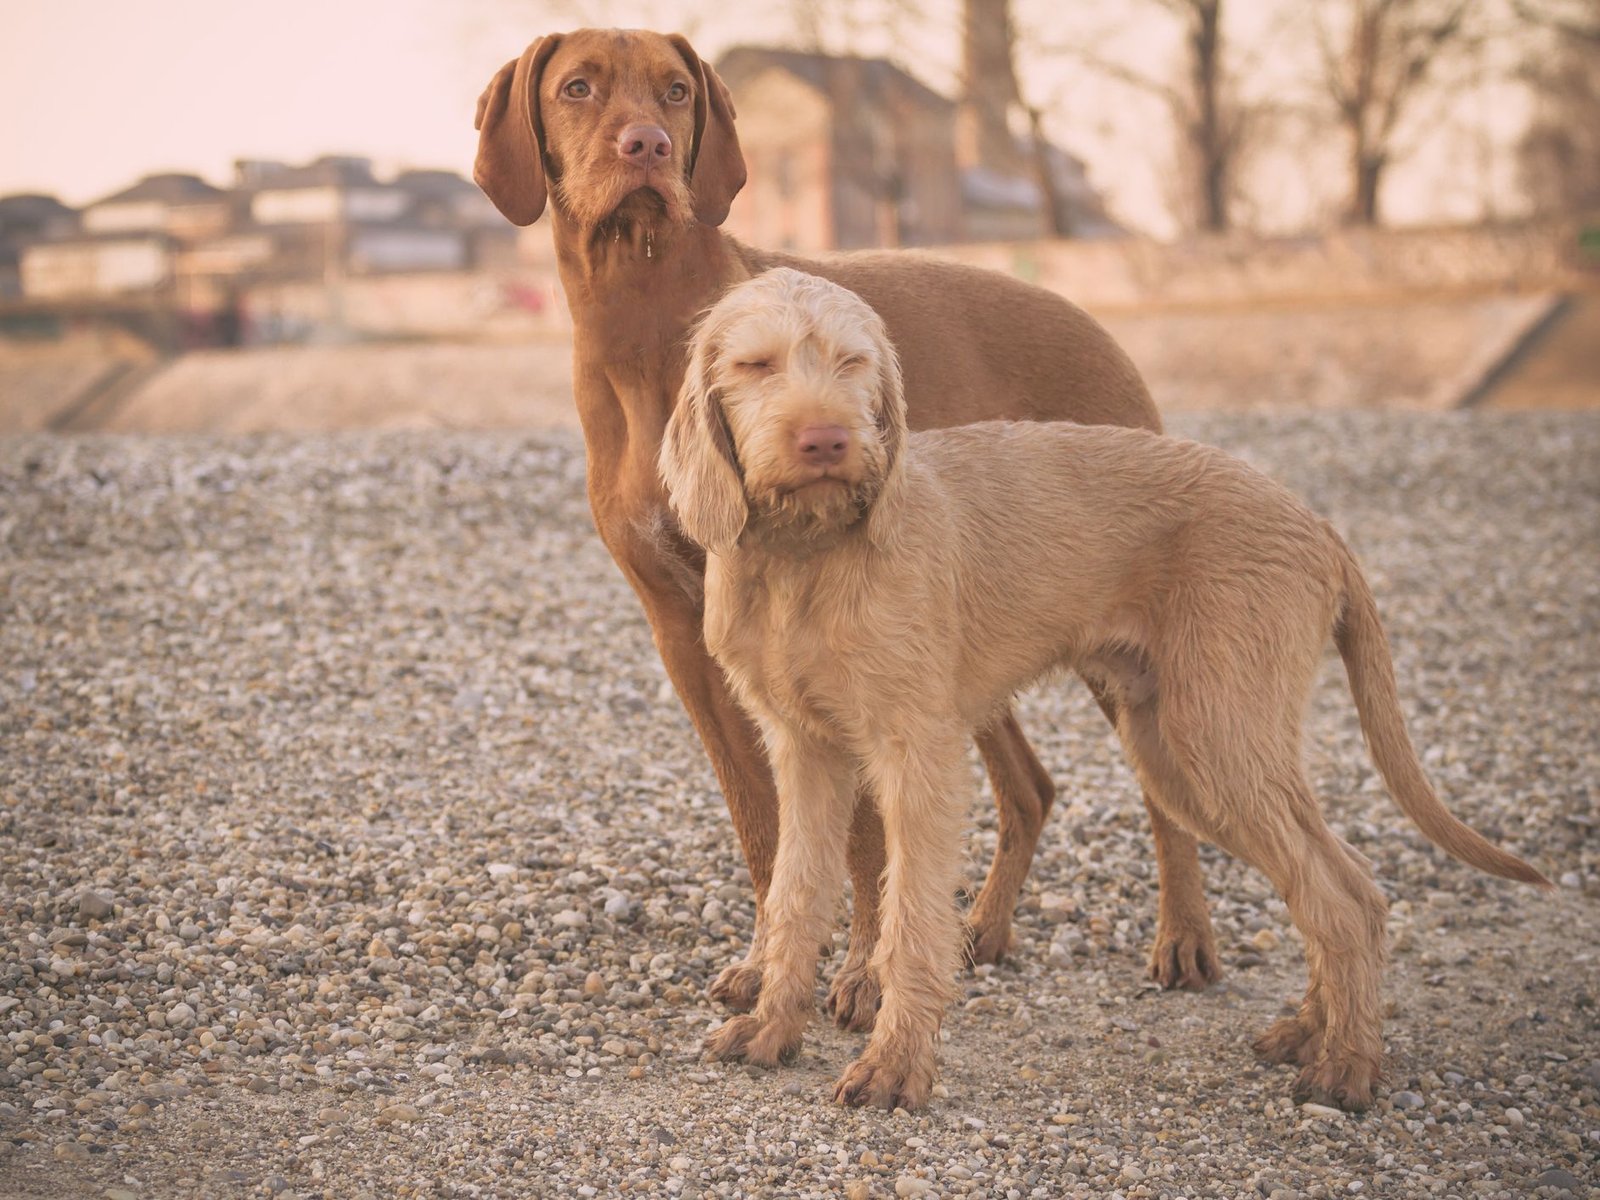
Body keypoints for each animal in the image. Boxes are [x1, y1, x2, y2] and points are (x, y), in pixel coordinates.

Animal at [473, 30, 1222, 1024]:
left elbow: (864, 834)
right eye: (578, 88)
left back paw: (1183, 937)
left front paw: (865, 971)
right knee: (1029, 785)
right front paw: (769, 962)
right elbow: (761, 820)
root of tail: (1092, 320)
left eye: (675, 92)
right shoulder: (685, 633)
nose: (648, 147)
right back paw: (982, 929)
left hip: (1105, 623)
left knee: (1162, 797)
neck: (642, 319)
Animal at [652, 267, 1548, 1113]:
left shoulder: (917, 755)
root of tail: (1318, 524)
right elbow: (795, 894)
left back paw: (1348, 1067)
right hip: (1177, 754)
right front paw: (773, 1028)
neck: (804, 558)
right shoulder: (806, 751)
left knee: (1345, 897)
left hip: (1217, 740)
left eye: (852, 363)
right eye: (756, 365)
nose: (827, 440)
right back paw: (1310, 1029)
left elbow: (909, 917)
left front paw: (895, 1065)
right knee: (1343, 880)